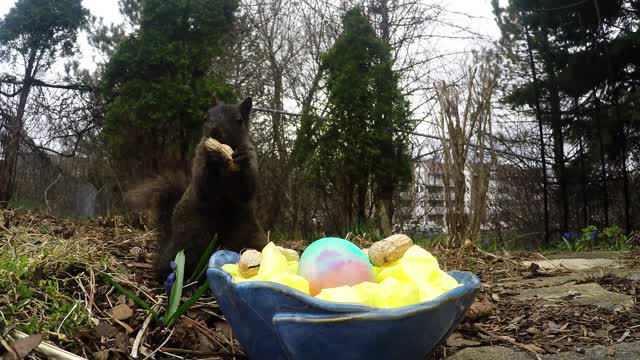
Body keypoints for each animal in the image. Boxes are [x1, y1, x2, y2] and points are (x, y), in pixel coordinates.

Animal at [127, 97, 268, 282]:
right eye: (205, 118)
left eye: (239, 120)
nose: (215, 132)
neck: (223, 165)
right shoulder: (199, 159)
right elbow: (203, 189)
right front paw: (211, 158)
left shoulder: (252, 157)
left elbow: (246, 190)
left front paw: (241, 159)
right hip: (192, 239)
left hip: (251, 236)